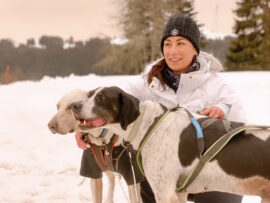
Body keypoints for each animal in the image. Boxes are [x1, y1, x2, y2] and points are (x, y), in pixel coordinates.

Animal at [70, 86, 270, 203]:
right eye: (90, 95)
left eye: (102, 98)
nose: (74, 105)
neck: (149, 122)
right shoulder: (179, 193)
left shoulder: (164, 192)